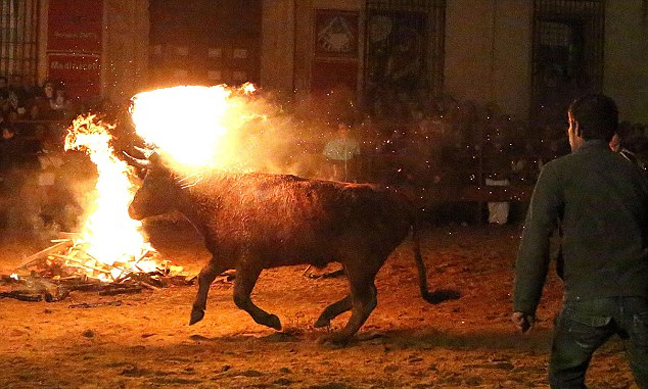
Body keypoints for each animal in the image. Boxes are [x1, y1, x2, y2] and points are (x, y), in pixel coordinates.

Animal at [126, 155, 458, 342]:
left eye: (152, 180)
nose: (131, 208)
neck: (217, 197)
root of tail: (401, 199)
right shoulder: (225, 254)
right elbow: (205, 275)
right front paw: (196, 312)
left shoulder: (250, 260)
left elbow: (239, 296)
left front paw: (272, 321)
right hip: (361, 264)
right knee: (363, 296)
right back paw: (325, 318)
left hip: (360, 261)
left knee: (365, 300)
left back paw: (338, 337)